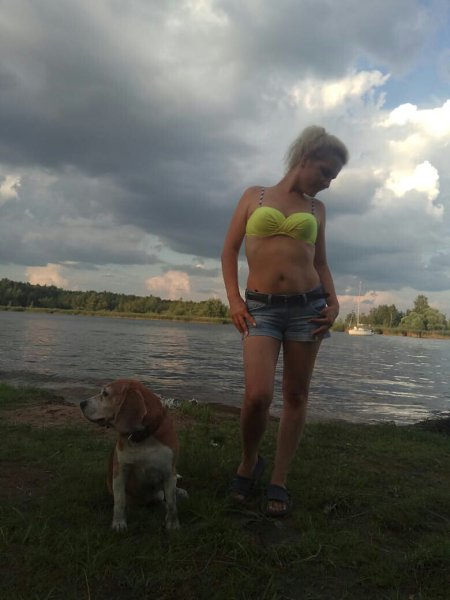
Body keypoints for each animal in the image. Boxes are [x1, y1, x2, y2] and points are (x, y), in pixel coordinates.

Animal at [80, 379, 181, 531]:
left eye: (105, 393)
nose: (82, 403)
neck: (143, 438)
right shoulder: (120, 471)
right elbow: (119, 502)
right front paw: (119, 523)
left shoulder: (169, 473)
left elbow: (172, 503)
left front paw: (173, 524)